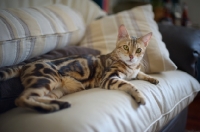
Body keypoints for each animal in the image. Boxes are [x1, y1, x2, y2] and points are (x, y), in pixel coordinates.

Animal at [0, 24, 159, 112]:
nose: (131, 56)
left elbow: (140, 74)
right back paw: (51, 108)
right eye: (126, 47)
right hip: (46, 79)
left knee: (35, 97)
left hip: (55, 90)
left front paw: (153, 78)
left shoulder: (134, 71)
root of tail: (25, 63)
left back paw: (60, 104)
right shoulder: (109, 78)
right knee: (21, 99)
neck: (130, 66)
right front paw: (140, 96)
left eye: (138, 50)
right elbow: (130, 85)